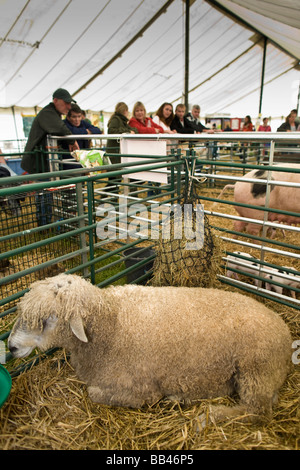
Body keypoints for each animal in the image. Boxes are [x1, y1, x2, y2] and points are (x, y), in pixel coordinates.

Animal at [8, 274, 292, 424]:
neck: (112, 322)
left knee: (257, 411)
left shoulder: (141, 391)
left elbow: (94, 393)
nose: (10, 347)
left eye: (49, 318)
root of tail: (284, 328)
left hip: (256, 370)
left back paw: (210, 414)